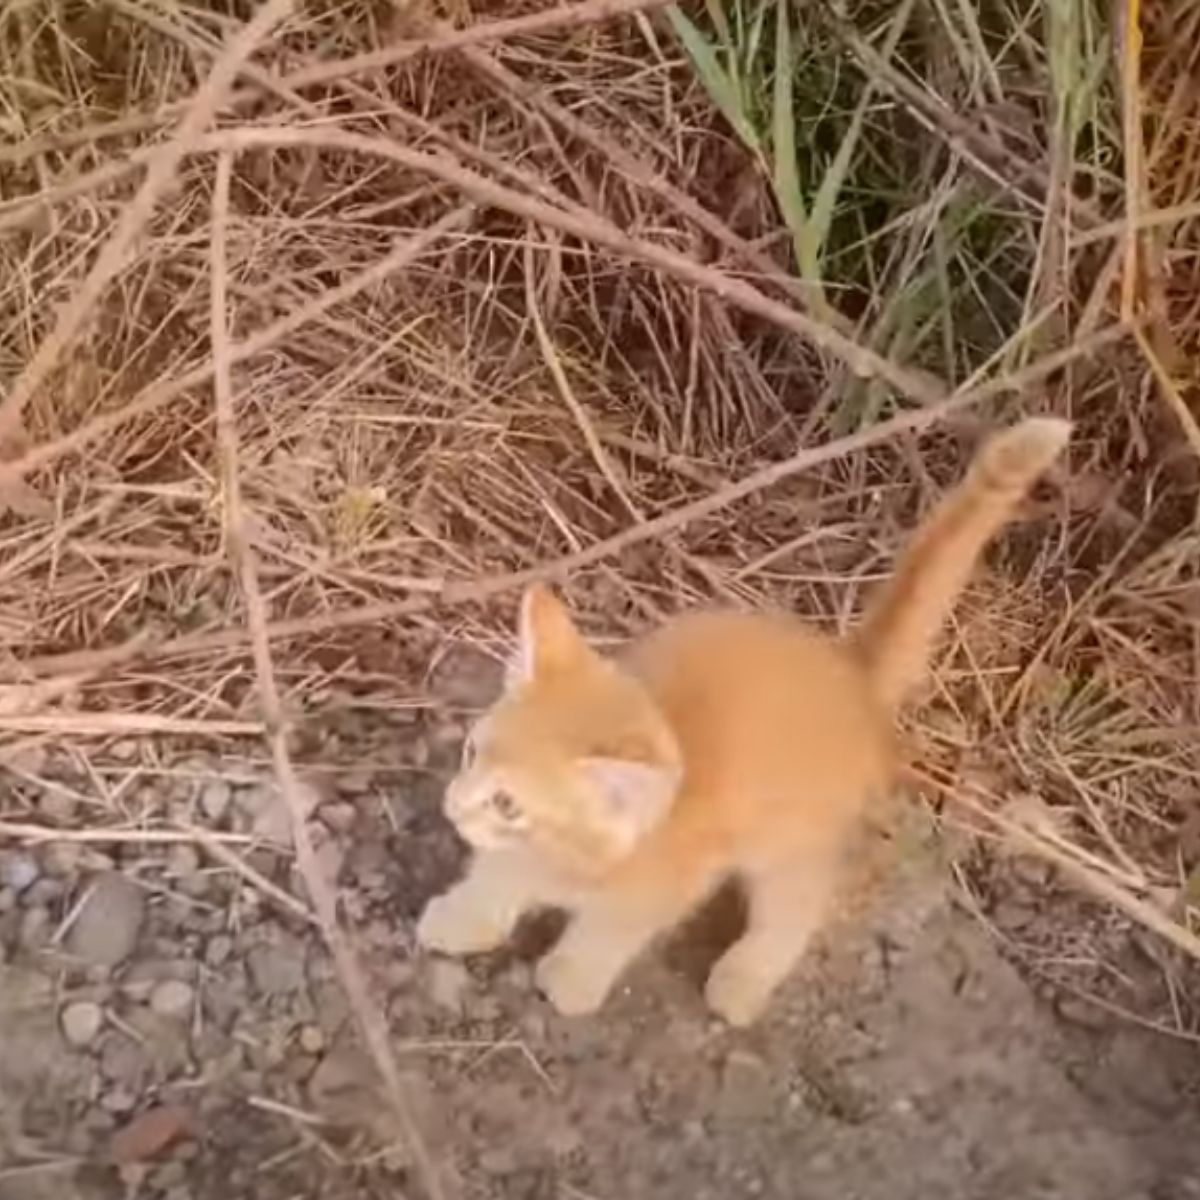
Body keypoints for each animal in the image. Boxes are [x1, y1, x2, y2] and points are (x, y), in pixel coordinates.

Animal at [420, 417, 1070, 1027]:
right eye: (471, 752)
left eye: (508, 804)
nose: (451, 806)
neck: (568, 857)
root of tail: (847, 669)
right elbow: (494, 881)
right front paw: (463, 917)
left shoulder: (663, 889)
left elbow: (610, 931)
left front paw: (572, 978)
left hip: (792, 845)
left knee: (794, 908)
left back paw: (744, 978)